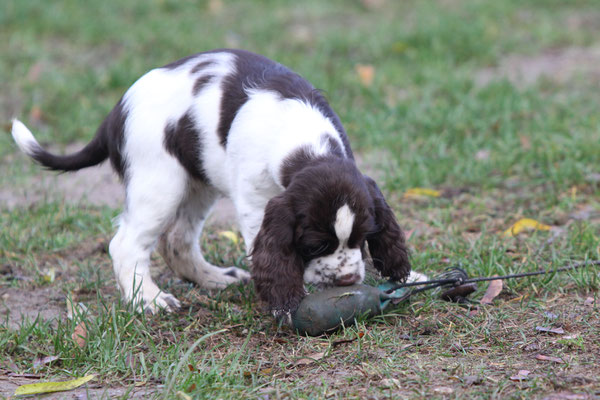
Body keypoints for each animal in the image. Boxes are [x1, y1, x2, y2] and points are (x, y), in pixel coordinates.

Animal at [11, 48, 412, 322]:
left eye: (363, 237)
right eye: (315, 244)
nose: (347, 279)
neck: (306, 145)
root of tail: (116, 113)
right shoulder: (255, 201)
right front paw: (288, 297)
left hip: (198, 182)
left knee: (177, 241)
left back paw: (216, 279)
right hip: (159, 182)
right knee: (126, 244)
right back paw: (148, 300)